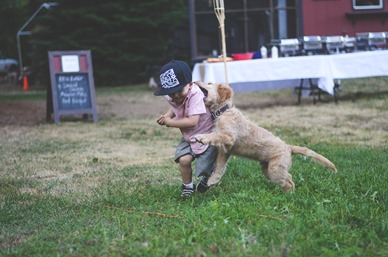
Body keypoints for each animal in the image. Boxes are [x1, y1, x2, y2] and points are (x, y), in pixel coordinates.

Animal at [196, 81, 334, 191]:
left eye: (209, 83)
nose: (195, 81)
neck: (223, 112)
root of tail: (289, 147)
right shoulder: (225, 151)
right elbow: (219, 167)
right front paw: (212, 180)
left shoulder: (228, 137)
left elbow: (214, 136)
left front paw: (202, 137)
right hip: (267, 169)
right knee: (289, 178)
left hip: (274, 170)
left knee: (289, 182)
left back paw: (289, 196)